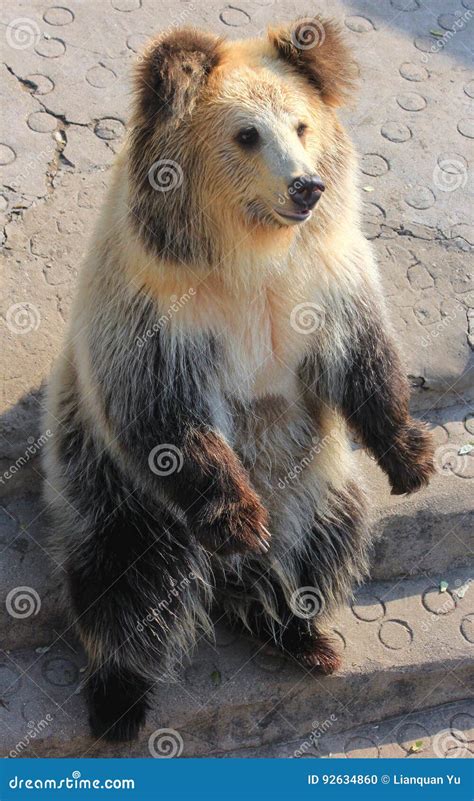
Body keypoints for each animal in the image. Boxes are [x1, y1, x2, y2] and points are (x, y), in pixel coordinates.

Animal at [42, 18, 436, 740]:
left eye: (302, 125)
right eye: (247, 134)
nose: (307, 186)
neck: (250, 253)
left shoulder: (324, 280)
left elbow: (364, 357)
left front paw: (411, 458)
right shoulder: (157, 309)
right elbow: (165, 414)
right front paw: (238, 516)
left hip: (313, 477)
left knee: (330, 538)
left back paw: (300, 631)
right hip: (120, 488)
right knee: (124, 575)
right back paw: (118, 698)